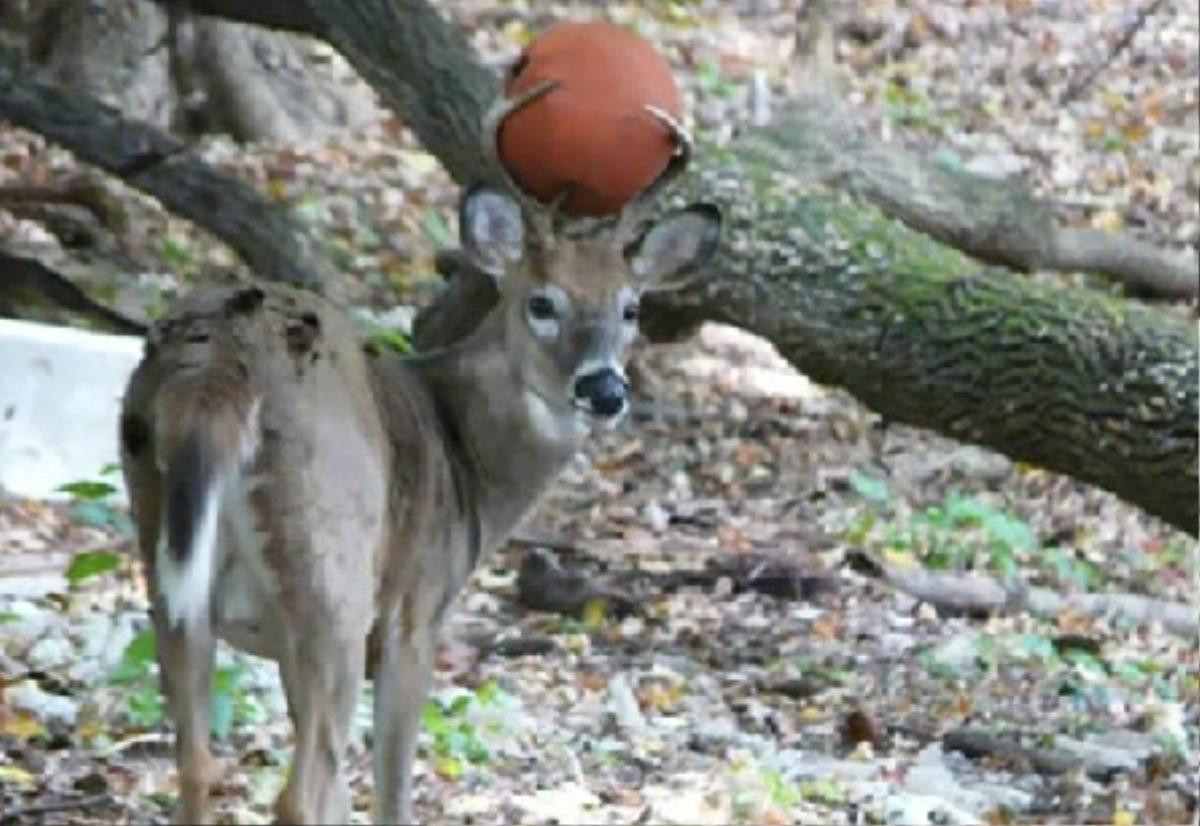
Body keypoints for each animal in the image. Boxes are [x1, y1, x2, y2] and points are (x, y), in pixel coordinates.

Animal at [119, 77, 720, 826]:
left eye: (631, 308)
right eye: (541, 303)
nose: (604, 388)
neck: (464, 452)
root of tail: (224, 365)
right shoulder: (417, 610)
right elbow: (387, 790)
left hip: (171, 573)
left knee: (201, 768)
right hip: (334, 583)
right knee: (297, 793)